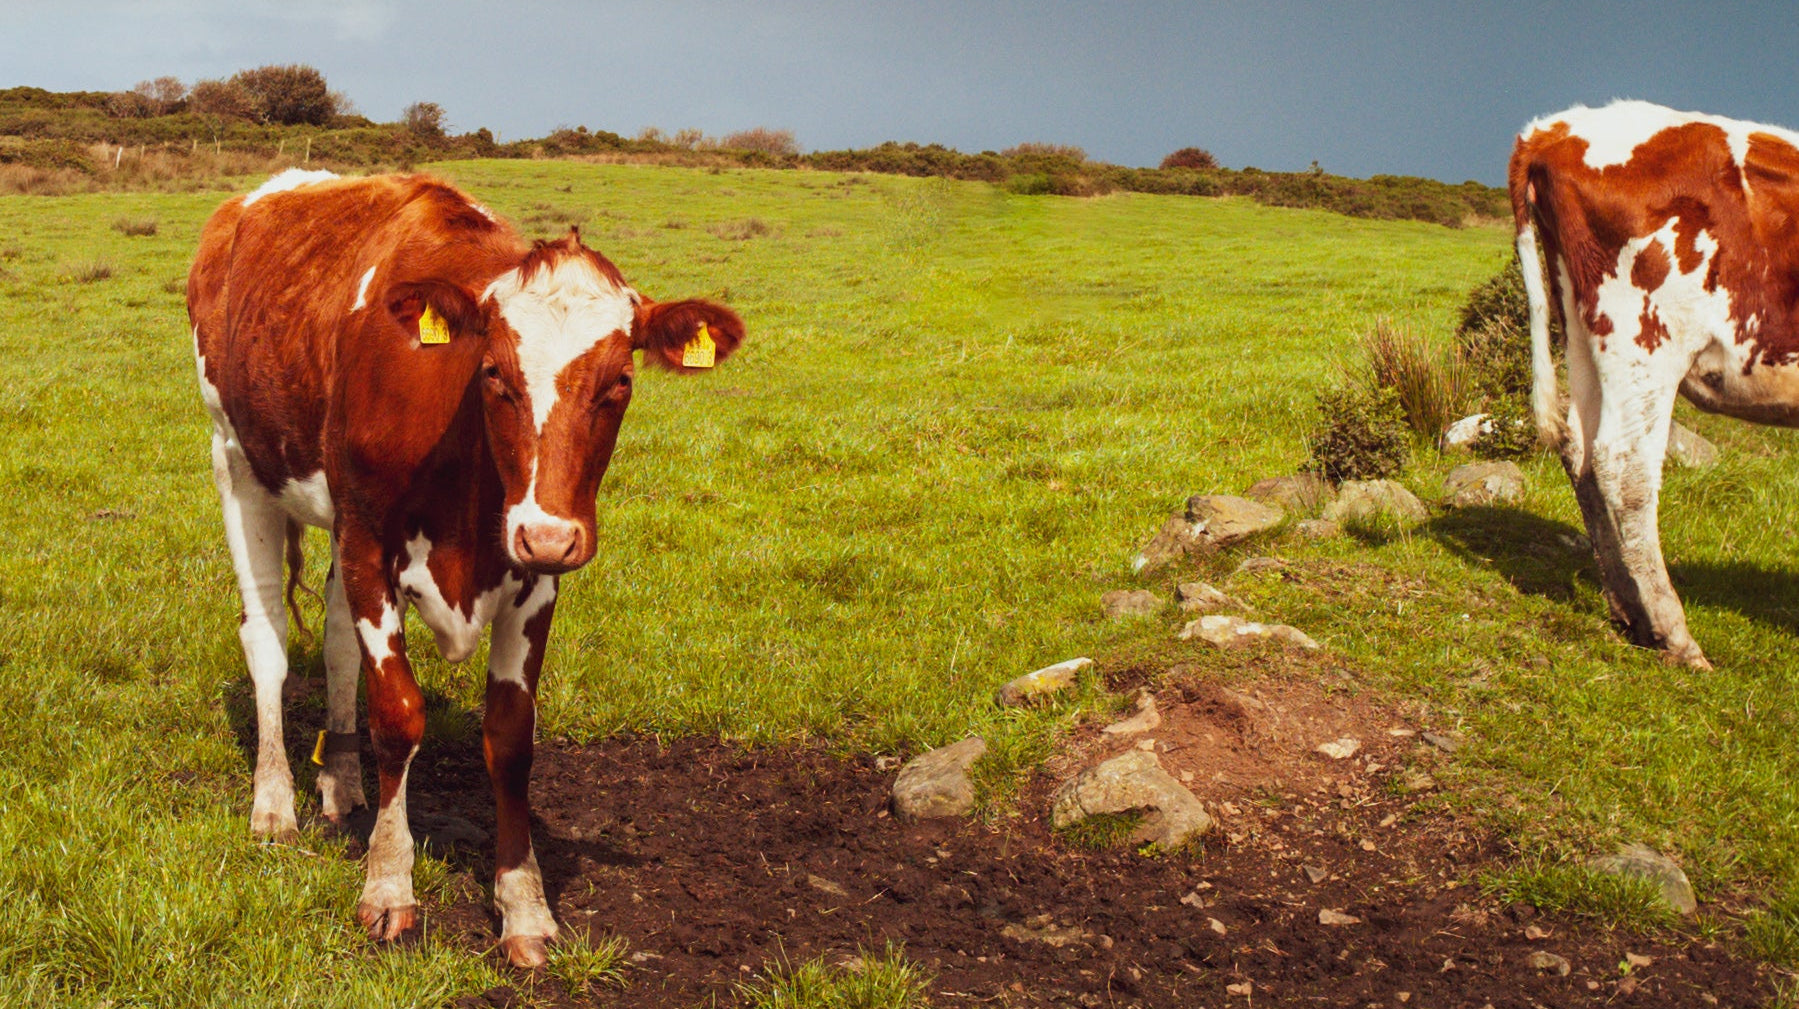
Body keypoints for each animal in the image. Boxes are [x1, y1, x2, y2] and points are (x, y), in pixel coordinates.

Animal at [189, 169, 743, 965]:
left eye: (619, 383)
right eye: (493, 374)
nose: (550, 533)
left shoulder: (532, 574)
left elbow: (509, 737)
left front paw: (524, 905)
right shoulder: (369, 540)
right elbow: (398, 713)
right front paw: (388, 884)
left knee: (336, 641)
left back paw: (341, 783)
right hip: (236, 460)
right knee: (266, 635)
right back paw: (274, 802)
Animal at [1512, 100, 1799, 668]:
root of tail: (1554, 129)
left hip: (1580, 323)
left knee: (1579, 445)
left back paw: (1630, 609)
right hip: (1646, 336)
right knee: (1625, 464)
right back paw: (1675, 634)